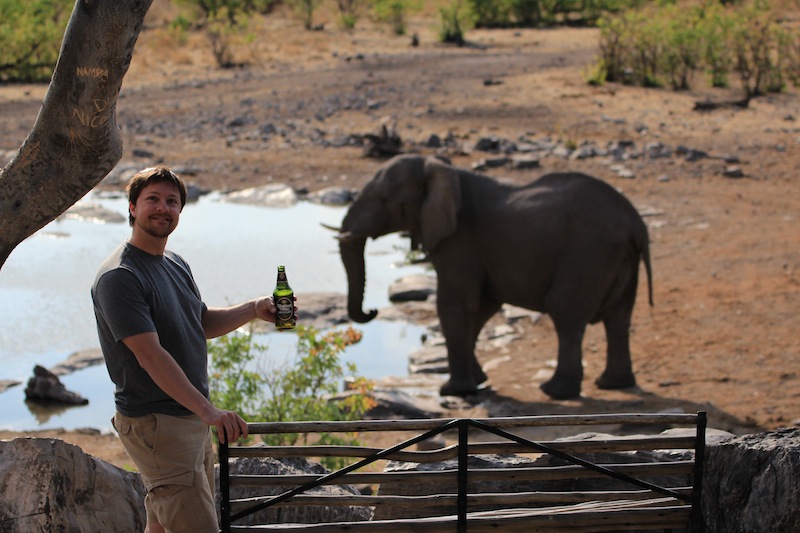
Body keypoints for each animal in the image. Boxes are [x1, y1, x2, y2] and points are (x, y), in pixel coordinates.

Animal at [334, 154, 653, 399]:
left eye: (384, 199)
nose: (372, 311)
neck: (441, 169)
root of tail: (635, 222)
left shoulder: (459, 239)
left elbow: (454, 305)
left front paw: (453, 391)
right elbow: (483, 307)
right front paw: (478, 380)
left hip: (587, 254)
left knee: (566, 313)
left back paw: (555, 391)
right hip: (619, 259)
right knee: (619, 319)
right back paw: (612, 384)